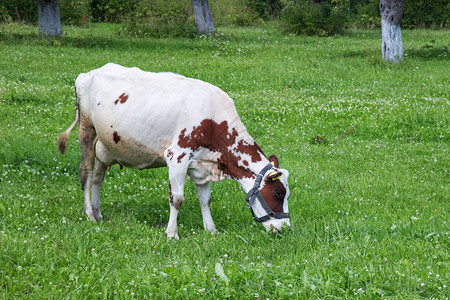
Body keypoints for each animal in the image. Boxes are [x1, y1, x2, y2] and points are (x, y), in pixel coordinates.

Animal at [58, 63, 290, 239]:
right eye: (279, 193)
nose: (284, 229)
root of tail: (87, 74)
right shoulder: (177, 156)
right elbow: (177, 199)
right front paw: (172, 233)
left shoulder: (201, 162)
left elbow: (205, 199)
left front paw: (211, 229)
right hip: (87, 131)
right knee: (87, 174)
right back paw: (89, 214)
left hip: (105, 144)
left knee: (98, 178)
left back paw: (98, 214)